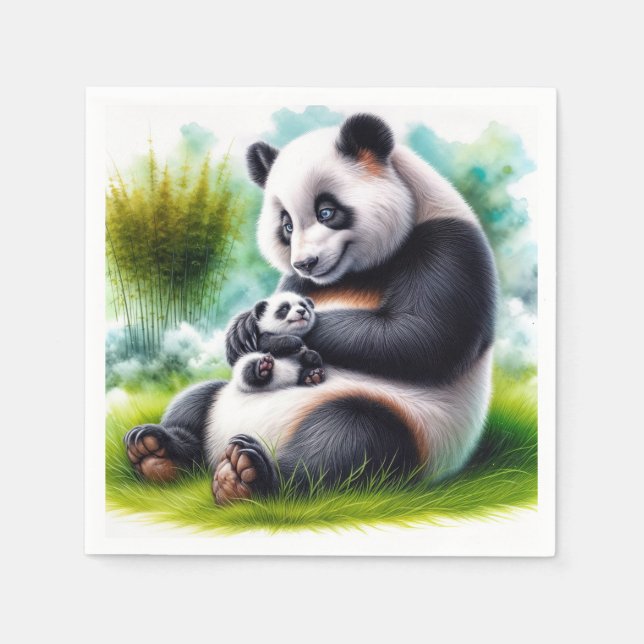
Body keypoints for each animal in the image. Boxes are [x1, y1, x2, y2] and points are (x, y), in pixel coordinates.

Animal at [124, 113, 497, 504]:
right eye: (287, 225)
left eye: (327, 212)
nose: (305, 262)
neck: (353, 273)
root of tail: (217, 449)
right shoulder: (297, 281)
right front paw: (241, 329)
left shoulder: (449, 246)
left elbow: (421, 337)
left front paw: (271, 333)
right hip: (222, 401)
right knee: (197, 398)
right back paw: (157, 448)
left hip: (411, 423)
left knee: (350, 438)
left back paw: (251, 473)